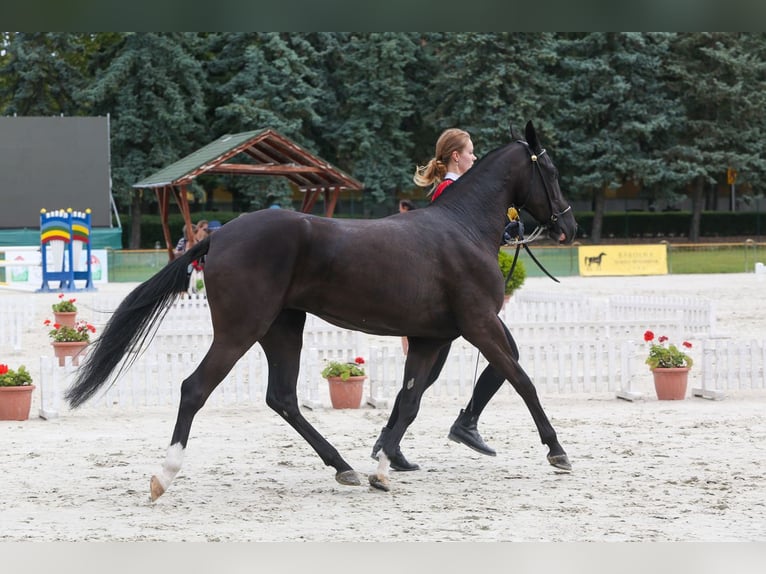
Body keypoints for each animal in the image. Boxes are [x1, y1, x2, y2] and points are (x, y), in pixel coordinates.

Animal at [66, 121, 580, 500]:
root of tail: (221, 235)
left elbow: (409, 400)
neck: (462, 229)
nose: (569, 227)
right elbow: (522, 380)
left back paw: (344, 467)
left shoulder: (431, 338)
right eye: (552, 172)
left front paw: (382, 468)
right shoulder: (480, 325)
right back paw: (164, 475)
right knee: (196, 388)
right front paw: (558, 452)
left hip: (282, 328)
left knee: (283, 398)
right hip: (241, 330)